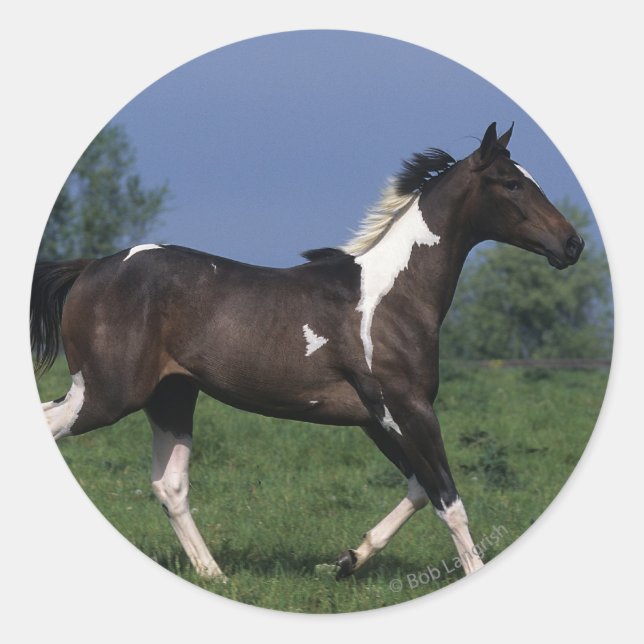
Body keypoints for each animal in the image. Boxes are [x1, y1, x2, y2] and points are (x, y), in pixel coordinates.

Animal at [30, 122, 584, 581]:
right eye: (511, 183)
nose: (572, 244)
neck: (393, 297)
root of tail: (91, 267)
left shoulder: (376, 419)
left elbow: (418, 488)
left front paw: (347, 560)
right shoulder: (407, 409)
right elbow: (448, 498)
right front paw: (470, 572)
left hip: (171, 397)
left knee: (170, 485)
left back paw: (216, 576)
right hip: (106, 394)